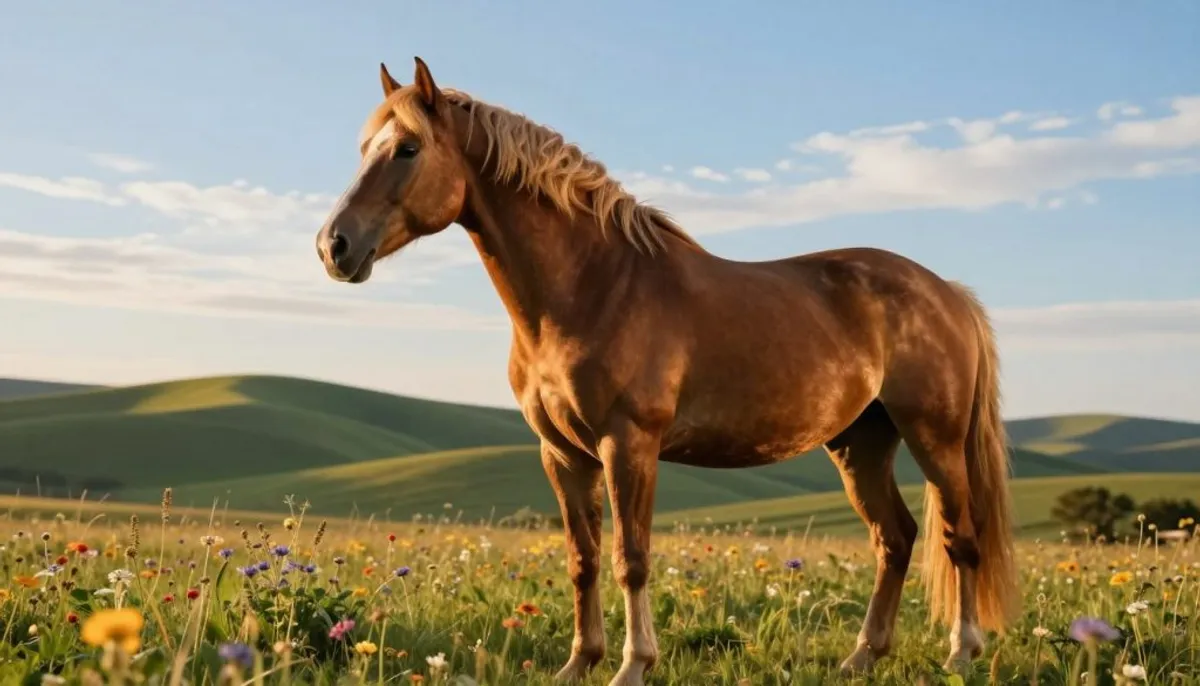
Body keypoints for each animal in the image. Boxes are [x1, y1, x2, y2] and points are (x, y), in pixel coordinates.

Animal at [315, 57, 1021, 685]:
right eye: (363, 148)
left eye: (407, 149)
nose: (333, 246)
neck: (591, 288)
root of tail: (948, 292)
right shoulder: (561, 454)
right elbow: (583, 559)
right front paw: (580, 663)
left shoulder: (628, 444)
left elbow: (631, 558)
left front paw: (633, 665)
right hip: (860, 442)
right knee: (895, 538)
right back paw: (862, 658)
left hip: (935, 438)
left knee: (959, 537)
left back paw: (961, 655)